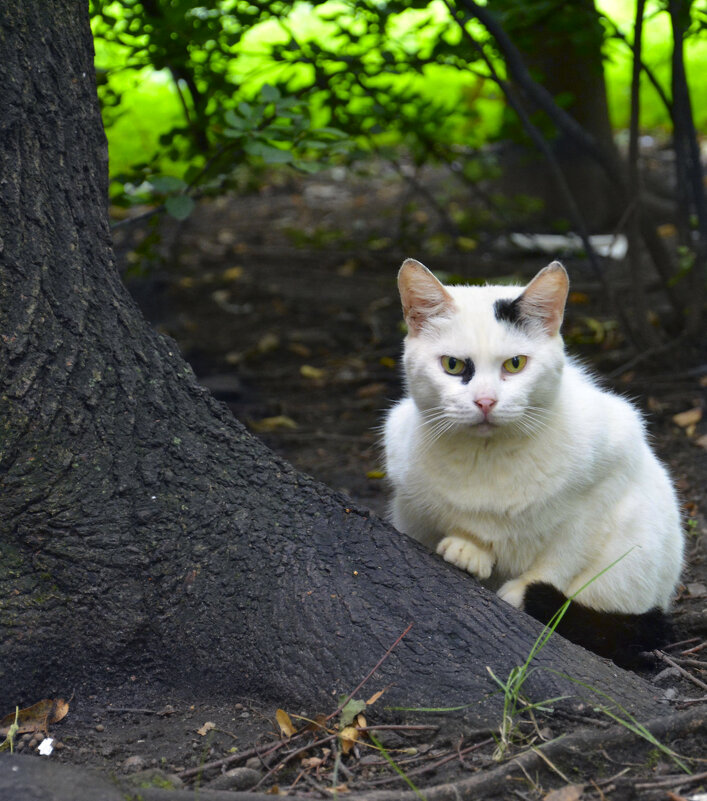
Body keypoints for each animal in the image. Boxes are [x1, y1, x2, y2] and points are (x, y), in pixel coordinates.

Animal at [384, 256, 684, 656]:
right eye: (452, 365)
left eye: (515, 364)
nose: (485, 401)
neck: (489, 458)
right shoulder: (410, 491)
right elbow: (460, 521)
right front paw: (469, 547)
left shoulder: (603, 485)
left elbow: (563, 556)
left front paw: (523, 591)